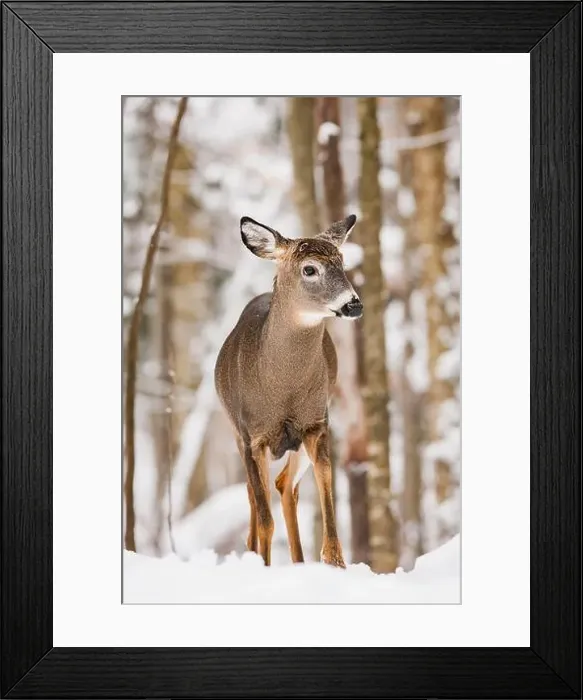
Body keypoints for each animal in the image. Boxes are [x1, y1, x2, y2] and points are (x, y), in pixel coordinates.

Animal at [214, 214, 362, 568]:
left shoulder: (316, 423)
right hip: (237, 433)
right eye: (310, 269)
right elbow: (264, 518)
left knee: (284, 486)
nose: (353, 304)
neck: (283, 389)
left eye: (342, 261)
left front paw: (335, 563)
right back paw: (255, 554)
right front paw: (263, 566)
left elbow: (328, 504)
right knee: (255, 499)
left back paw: (298, 561)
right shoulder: (251, 436)